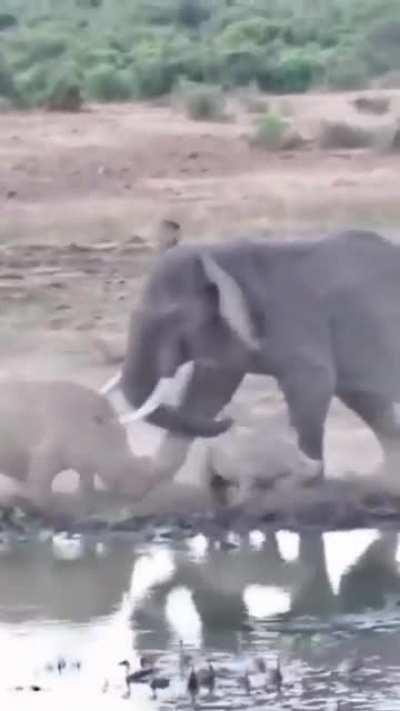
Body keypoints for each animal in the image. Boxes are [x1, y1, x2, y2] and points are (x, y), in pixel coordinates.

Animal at [104, 229, 400, 476]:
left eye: (172, 319)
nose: (231, 420)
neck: (218, 255)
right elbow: (207, 393)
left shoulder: (296, 321)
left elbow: (313, 386)